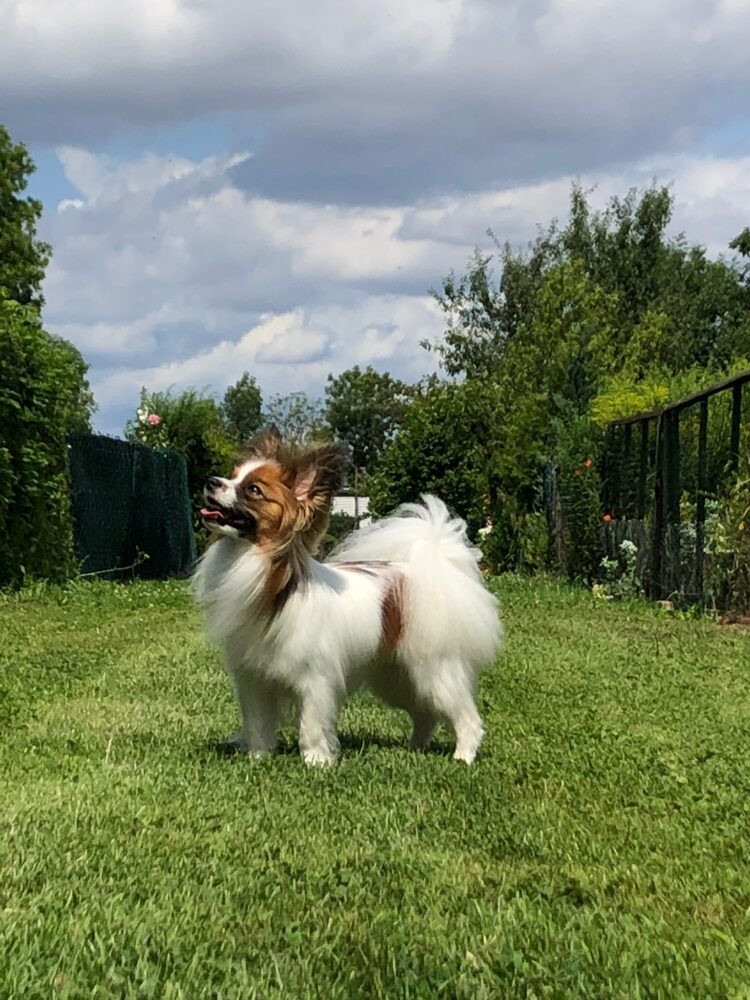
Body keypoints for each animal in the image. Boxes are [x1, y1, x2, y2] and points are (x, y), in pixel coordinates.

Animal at [191, 427, 502, 765]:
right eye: (232, 475)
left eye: (253, 490)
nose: (211, 481)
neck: (272, 585)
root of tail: (424, 570)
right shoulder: (254, 680)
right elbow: (258, 724)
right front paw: (258, 758)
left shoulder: (314, 679)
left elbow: (311, 725)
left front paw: (316, 761)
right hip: (397, 677)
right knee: (425, 713)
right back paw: (415, 748)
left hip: (434, 669)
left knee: (465, 715)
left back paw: (463, 756)